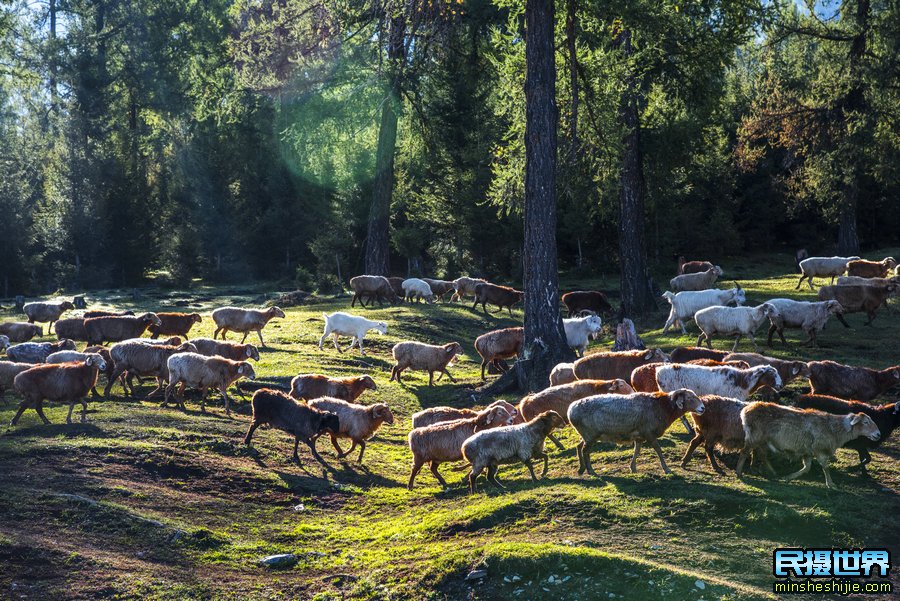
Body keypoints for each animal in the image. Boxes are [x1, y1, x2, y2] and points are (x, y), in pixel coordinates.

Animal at [568, 390, 712, 478]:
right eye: (689, 398)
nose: (702, 408)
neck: (663, 407)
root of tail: (571, 410)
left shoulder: (639, 436)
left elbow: (636, 451)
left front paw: (633, 468)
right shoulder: (649, 433)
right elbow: (658, 450)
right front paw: (666, 469)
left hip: (586, 435)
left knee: (579, 447)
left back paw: (581, 469)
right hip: (590, 435)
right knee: (585, 450)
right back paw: (591, 471)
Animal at [736, 400, 884, 486]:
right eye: (866, 422)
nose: (878, 434)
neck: (835, 428)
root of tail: (747, 409)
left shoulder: (807, 451)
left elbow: (806, 468)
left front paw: (788, 477)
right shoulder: (819, 450)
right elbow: (825, 467)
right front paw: (831, 484)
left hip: (763, 440)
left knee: (761, 455)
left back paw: (772, 472)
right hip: (755, 437)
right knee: (744, 452)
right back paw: (739, 472)